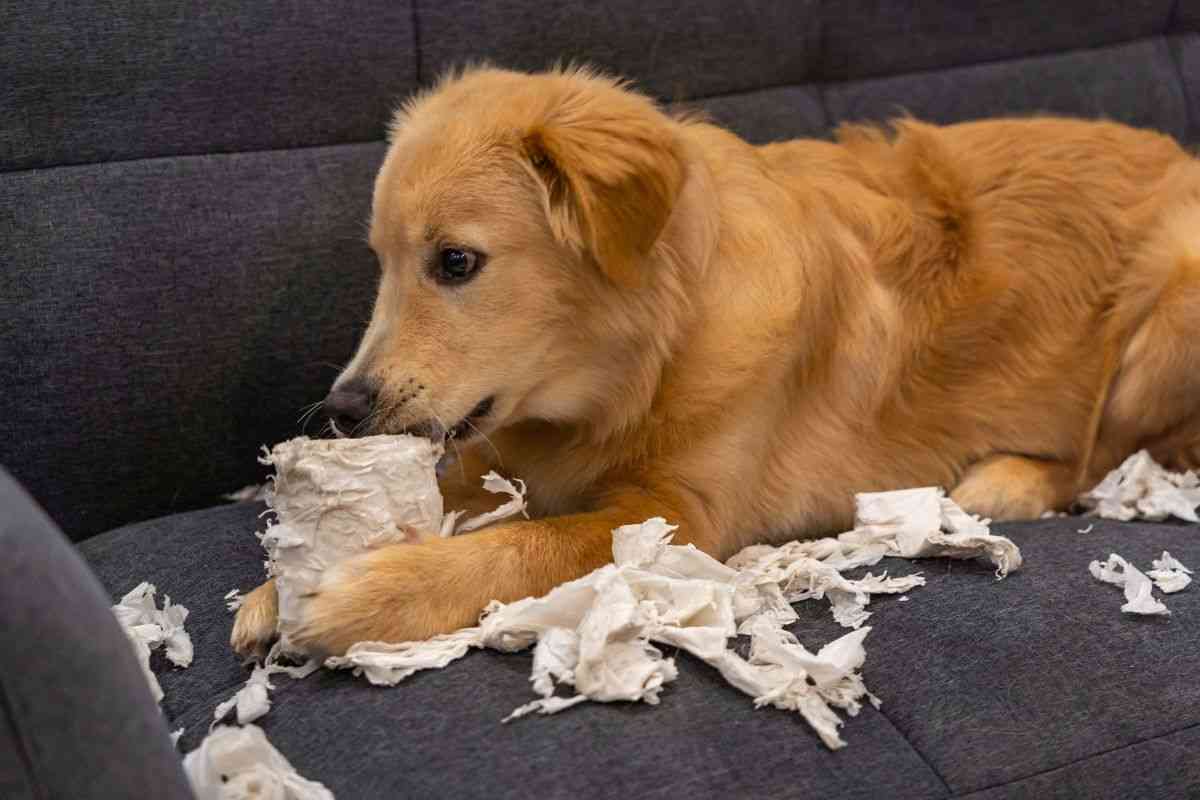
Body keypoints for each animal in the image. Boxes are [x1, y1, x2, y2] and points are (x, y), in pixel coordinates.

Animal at [229, 67, 1195, 657]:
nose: (342, 411)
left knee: (1105, 456)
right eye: (383, 263)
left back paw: (1009, 480)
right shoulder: (498, 445)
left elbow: (533, 544)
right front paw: (282, 582)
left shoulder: (679, 518)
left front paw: (365, 597)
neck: (646, 360)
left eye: (456, 262)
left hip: (1167, 319)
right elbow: (467, 497)